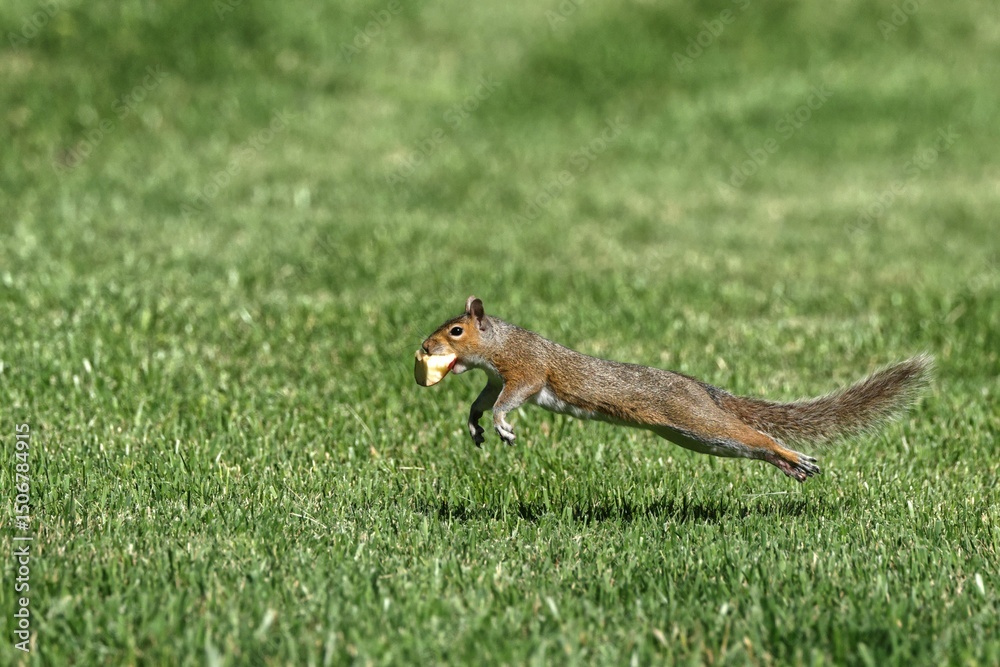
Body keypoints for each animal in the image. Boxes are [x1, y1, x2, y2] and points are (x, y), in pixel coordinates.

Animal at [417, 296, 931, 482]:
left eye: (456, 331)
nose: (425, 346)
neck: (499, 343)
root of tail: (704, 390)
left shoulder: (525, 370)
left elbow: (512, 398)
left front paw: (502, 424)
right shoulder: (494, 377)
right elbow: (482, 399)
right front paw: (475, 423)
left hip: (698, 423)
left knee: (755, 437)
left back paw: (791, 457)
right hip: (694, 435)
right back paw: (787, 466)